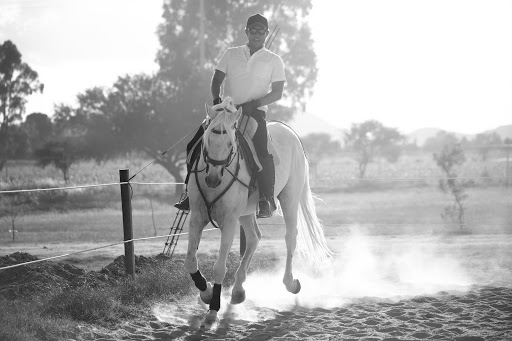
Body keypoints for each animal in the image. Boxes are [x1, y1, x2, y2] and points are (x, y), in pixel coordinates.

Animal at [184, 97, 332, 326]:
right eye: (206, 141)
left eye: (230, 143)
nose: (213, 179)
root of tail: (289, 131)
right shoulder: (197, 218)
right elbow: (191, 261)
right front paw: (206, 293)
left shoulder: (229, 222)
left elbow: (219, 267)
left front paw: (213, 310)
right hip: (246, 212)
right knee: (254, 238)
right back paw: (238, 290)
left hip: (289, 199)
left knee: (290, 238)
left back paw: (290, 283)